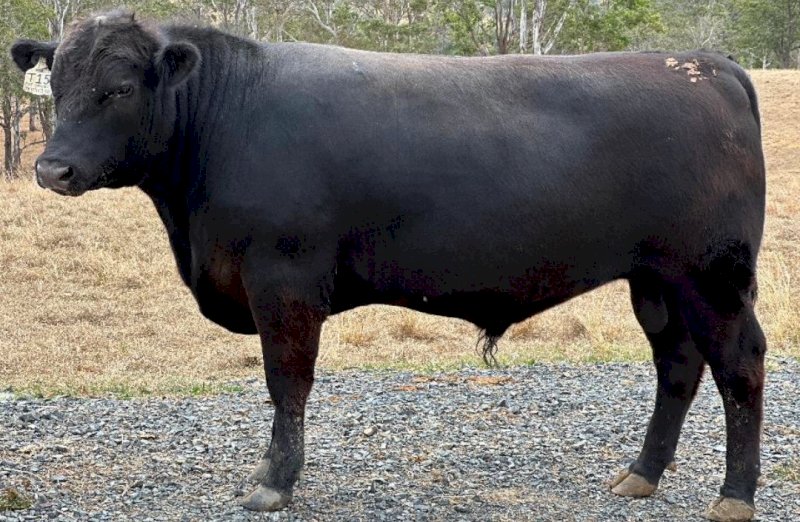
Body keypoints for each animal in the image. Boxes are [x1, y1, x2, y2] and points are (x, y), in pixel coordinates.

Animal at [11, 10, 766, 521]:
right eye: (57, 87)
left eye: (118, 88)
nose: (53, 169)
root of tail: (706, 65)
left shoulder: (283, 281)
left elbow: (287, 384)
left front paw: (273, 482)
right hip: (658, 279)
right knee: (677, 365)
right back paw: (642, 474)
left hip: (713, 277)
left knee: (740, 365)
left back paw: (734, 495)